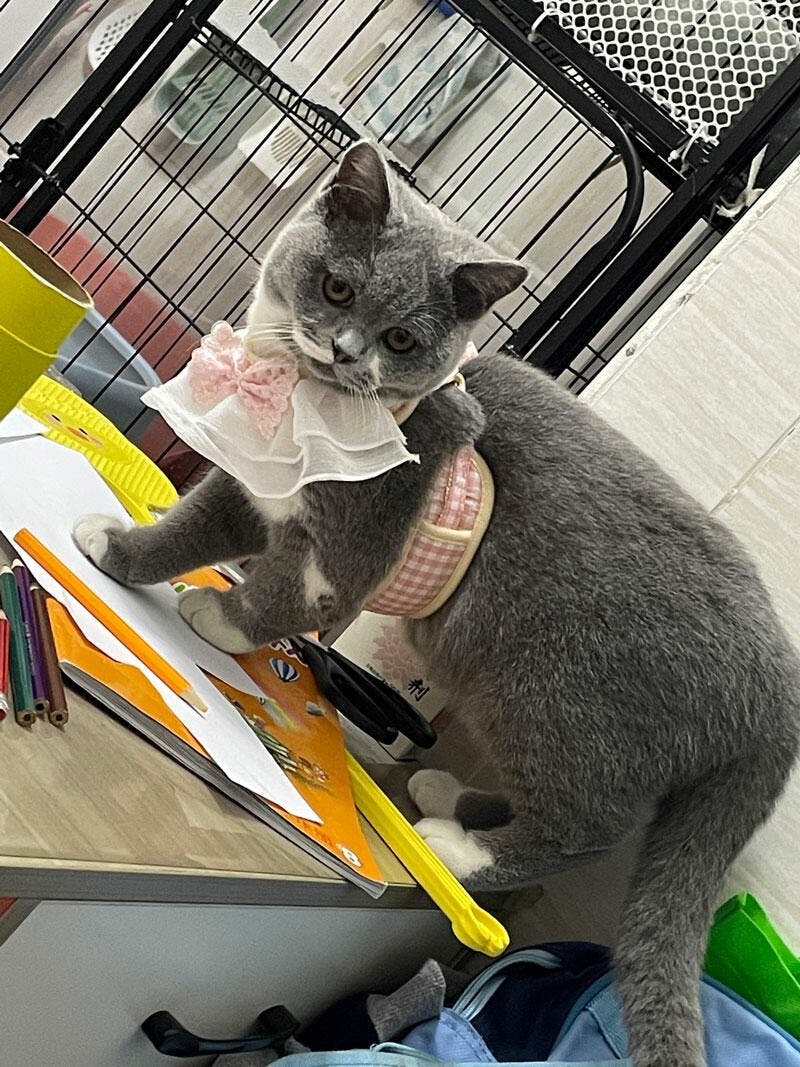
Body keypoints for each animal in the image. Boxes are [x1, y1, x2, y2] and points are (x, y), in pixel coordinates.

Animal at [73, 141, 799, 1067]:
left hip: (559, 700)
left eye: (402, 339)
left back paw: (460, 848)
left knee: (584, 826)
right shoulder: (258, 481)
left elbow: (284, 592)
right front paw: (120, 550)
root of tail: (778, 691)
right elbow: (197, 523)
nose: (346, 351)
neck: (308, 407)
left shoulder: (352, 543)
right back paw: (448, 796)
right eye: (337, 286)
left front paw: (218, 620)